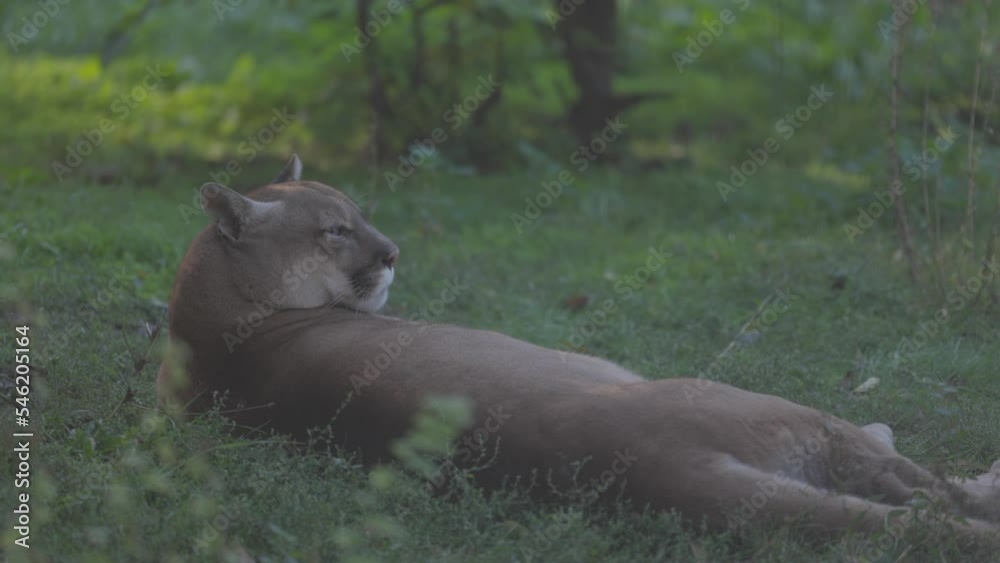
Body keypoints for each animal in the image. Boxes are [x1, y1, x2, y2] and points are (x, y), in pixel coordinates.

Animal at [157, 155, 1000, 548]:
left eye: (359, 214)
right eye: (335, 228)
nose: (393, 251)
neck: (228, 332)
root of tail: (654, 465)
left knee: (911, 497)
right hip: (793, 414)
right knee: (926, 487)